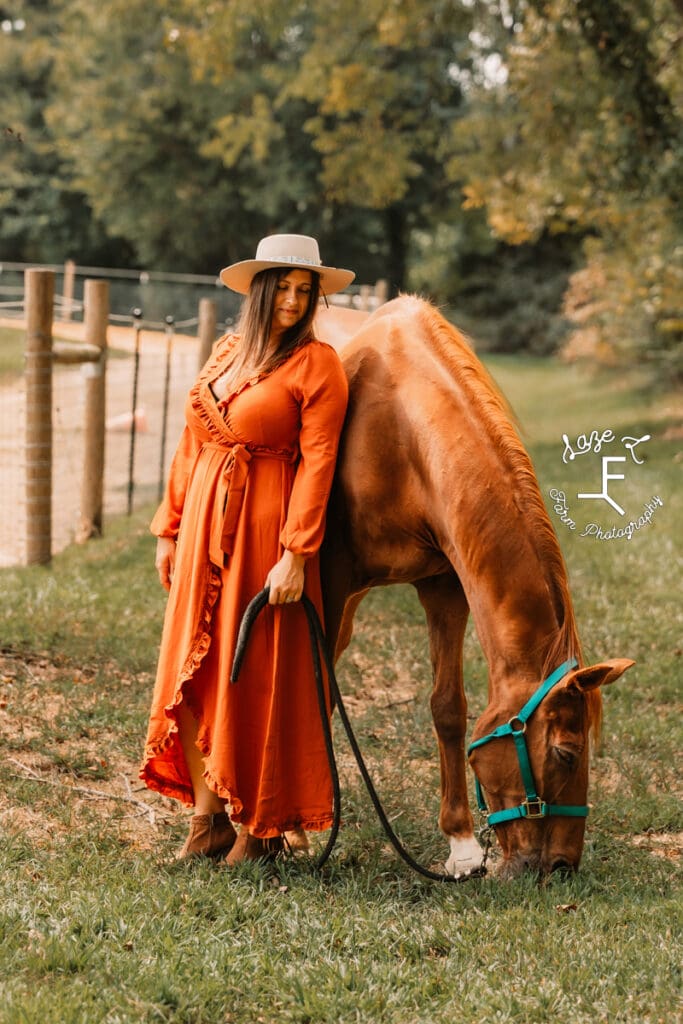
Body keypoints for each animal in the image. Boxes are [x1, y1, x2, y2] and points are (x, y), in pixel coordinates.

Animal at [317, 296, 634, 880]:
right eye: (566, 753)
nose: (562, 866)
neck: (401, 426)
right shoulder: (328, 580)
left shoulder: (444, 586)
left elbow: (448, 707)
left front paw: (462, 846)